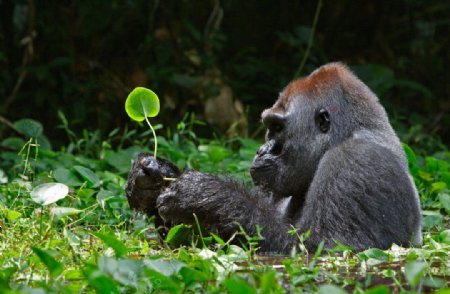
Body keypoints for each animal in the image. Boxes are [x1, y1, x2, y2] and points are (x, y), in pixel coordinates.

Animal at [125, 62, 422, 253]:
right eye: (269, 127)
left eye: (277, 128)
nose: (261, 150)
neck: (347, 134)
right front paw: (151, 181)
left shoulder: (356, 162)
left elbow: (321, 248)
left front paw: (206, 195)